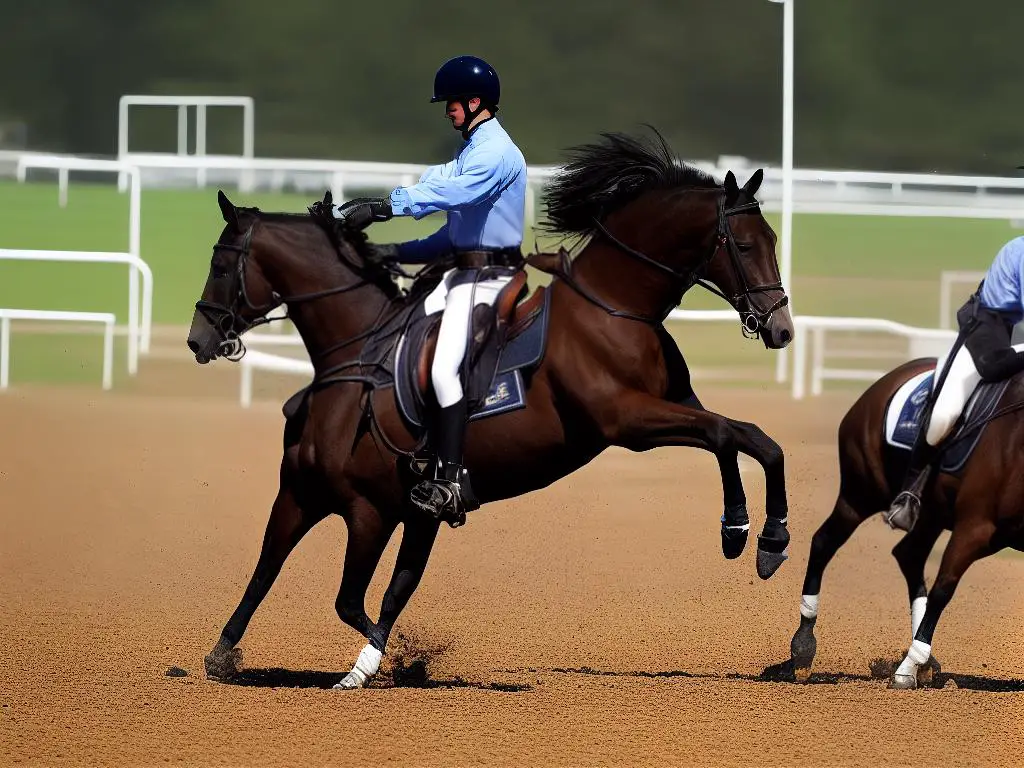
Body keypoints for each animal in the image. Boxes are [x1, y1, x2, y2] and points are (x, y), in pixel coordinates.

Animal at [188, 129, 794, 688]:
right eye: (746, 245)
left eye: (218, 263)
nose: (781, 327)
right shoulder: (327, 499)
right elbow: (287, 577)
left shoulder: (371, 511)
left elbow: (745, 437)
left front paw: (756, 534)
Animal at [774, 352, 1024, 688]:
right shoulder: (975, 527)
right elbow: (943, 590)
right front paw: (905, 670)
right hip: (860, 494)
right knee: (825, 542)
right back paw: (803, 647)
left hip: (930, 514)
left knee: (909, 554)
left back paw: (924, 662)